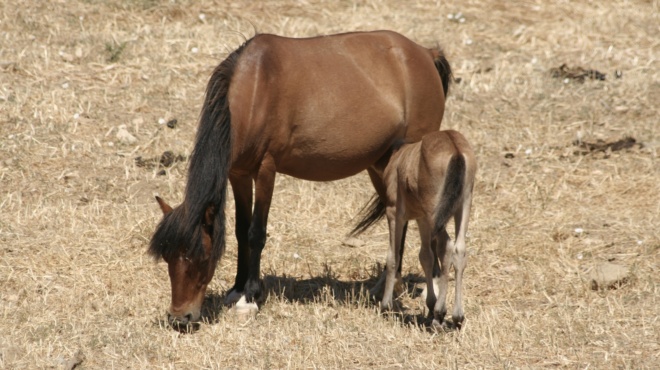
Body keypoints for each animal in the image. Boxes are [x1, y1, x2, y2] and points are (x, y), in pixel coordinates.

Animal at [147, 31, 452, 326]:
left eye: (201, 257)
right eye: (167, 257)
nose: (180, 318)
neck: (254, 91)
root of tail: (426, 53)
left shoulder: (266, 170)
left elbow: (256, 233)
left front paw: (250, 298)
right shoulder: (239, 174)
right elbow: (240, 231)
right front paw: (236, 290)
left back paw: (432, 287)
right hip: (381, 164)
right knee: (398, 217)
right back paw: (387, 286)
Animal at [376, 129, 474, 326]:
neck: (398, 156)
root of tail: (456, 150)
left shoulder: (394, 213)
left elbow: (393, 256)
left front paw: (385, 306)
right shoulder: (422, 219)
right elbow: (426, 256)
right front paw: (430, 304)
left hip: (435, 211)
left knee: (446, 246)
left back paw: (440, 313)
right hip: (463, 205)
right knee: (459, 249)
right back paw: (457, 316)